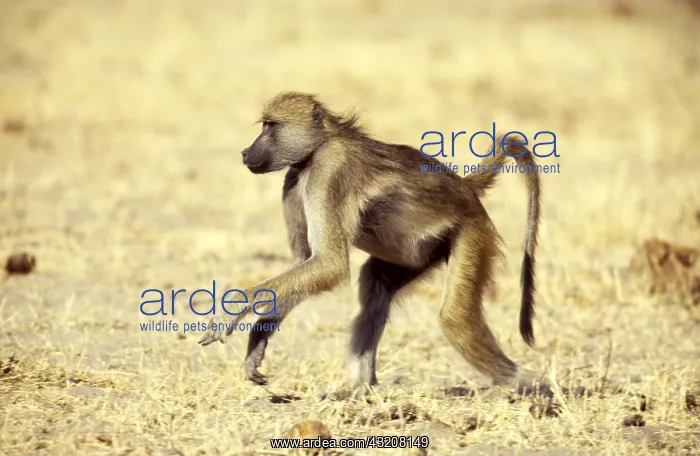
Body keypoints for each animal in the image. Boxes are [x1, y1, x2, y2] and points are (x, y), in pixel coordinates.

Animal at [198, 92, 542, 393]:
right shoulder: (293, 180)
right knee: (375, 283)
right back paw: (359, 389)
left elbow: (329, 265)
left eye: (270, 126)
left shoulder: (328, 173)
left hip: (473, 232)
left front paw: (232, 309)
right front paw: (258, 340)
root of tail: (465, 188)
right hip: (420, 251)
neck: (319, 147)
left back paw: (529, 387)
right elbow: (305, 261)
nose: (245, 152)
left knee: (454, 319)